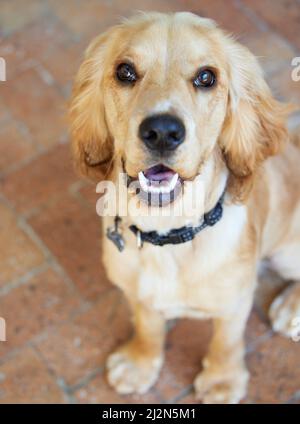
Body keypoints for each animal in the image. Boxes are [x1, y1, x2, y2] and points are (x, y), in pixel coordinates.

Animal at [69, 12, 298, 404]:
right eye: (125, 71)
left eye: (207, 77)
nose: (162, 132)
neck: (168, 235)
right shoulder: (138, 293)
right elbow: (148, 327)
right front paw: (140, 362)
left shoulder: (235, 301)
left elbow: (226, 341)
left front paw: (223, 381)